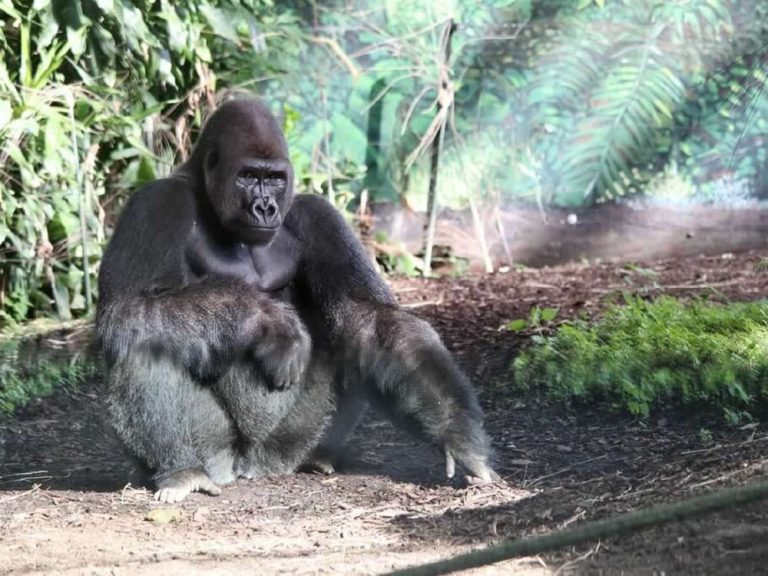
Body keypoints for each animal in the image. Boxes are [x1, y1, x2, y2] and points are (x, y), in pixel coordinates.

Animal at [96, 97, 498, 502]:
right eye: (247, 176)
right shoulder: (156, 203)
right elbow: (127, 308)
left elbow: (369, 318)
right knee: (147, 339)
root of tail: (251, 467)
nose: (265, 208)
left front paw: (456, 433)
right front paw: (267, 319)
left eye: (274, 179)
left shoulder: (317, 214)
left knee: (351, 341)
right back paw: (182, 471)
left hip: (291, 441)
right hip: (217, 451)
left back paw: (318, 457)